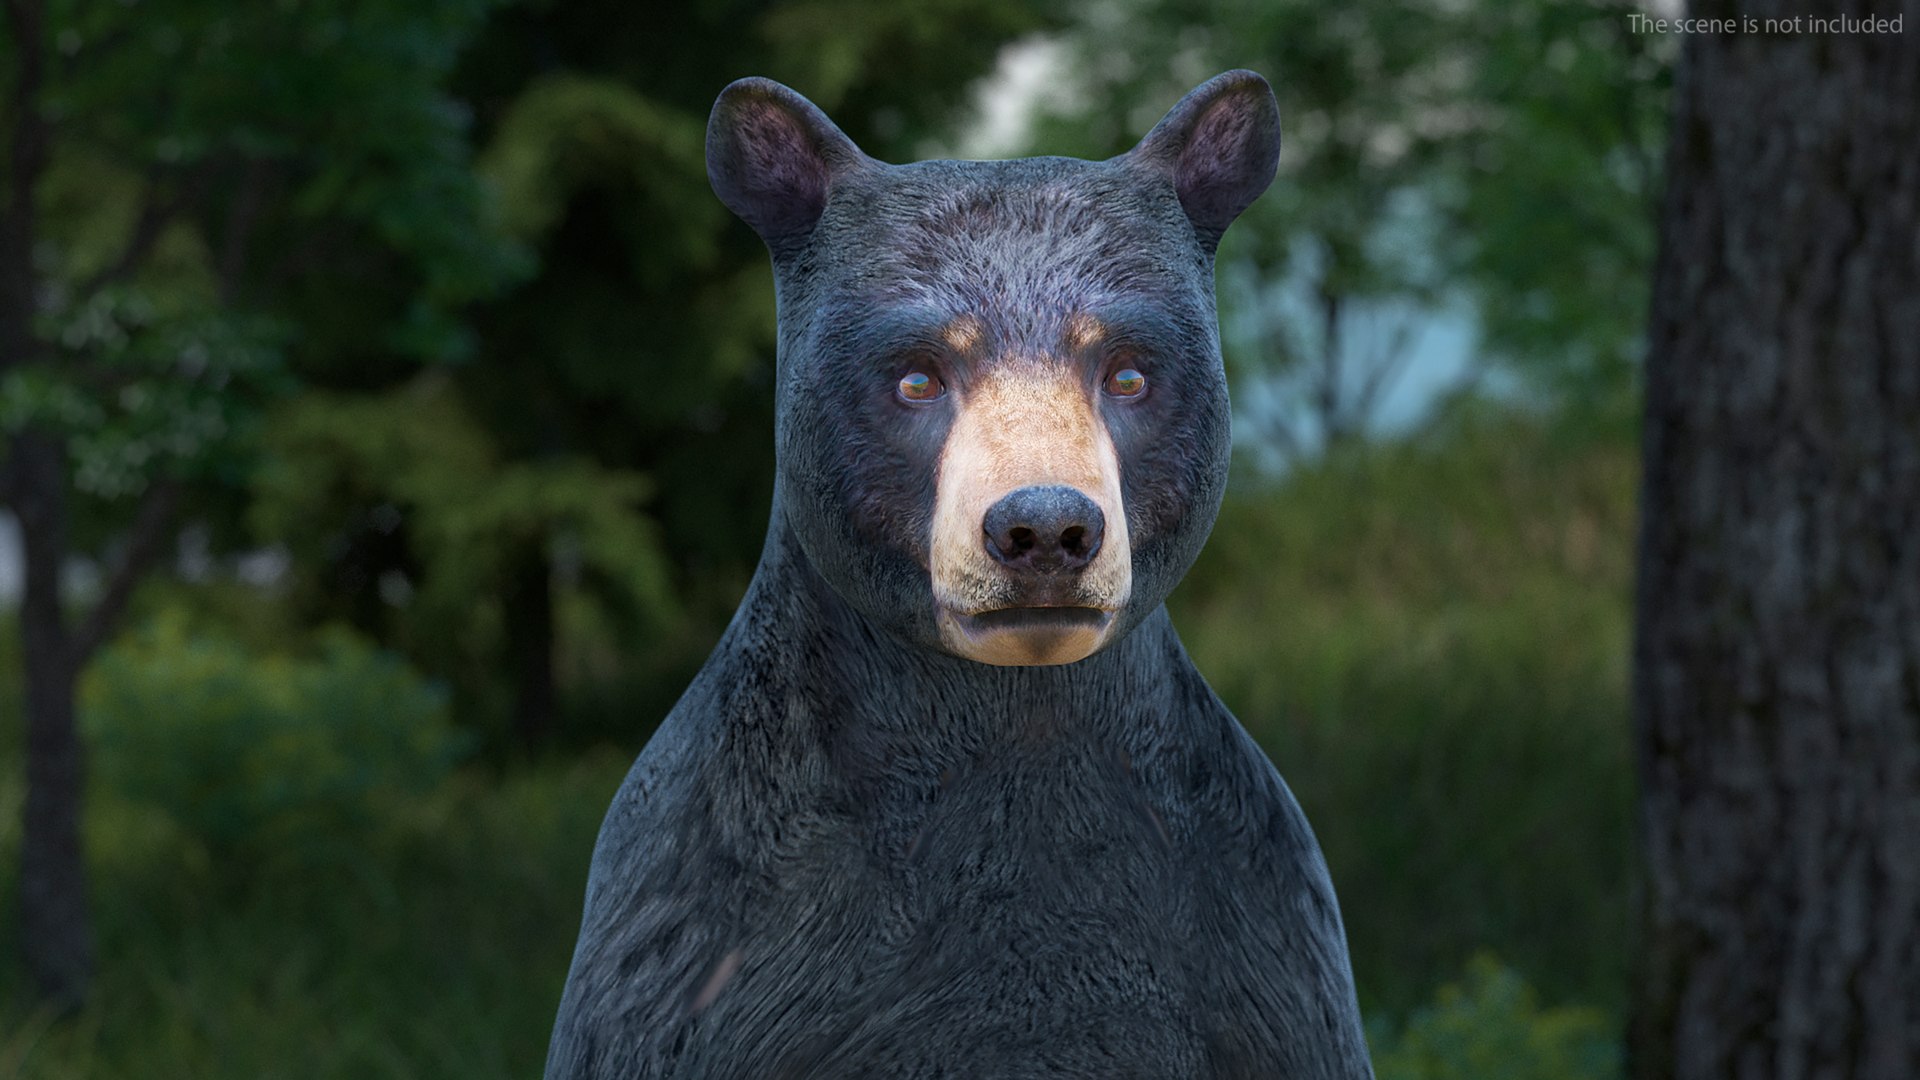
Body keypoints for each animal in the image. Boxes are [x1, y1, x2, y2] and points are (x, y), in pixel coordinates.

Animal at [544, 70, 1374, 1079]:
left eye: (1128, 374)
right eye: (917, 377)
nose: (1044, 528)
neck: (1012, 717)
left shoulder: (1261, 937)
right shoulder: (696, 944)